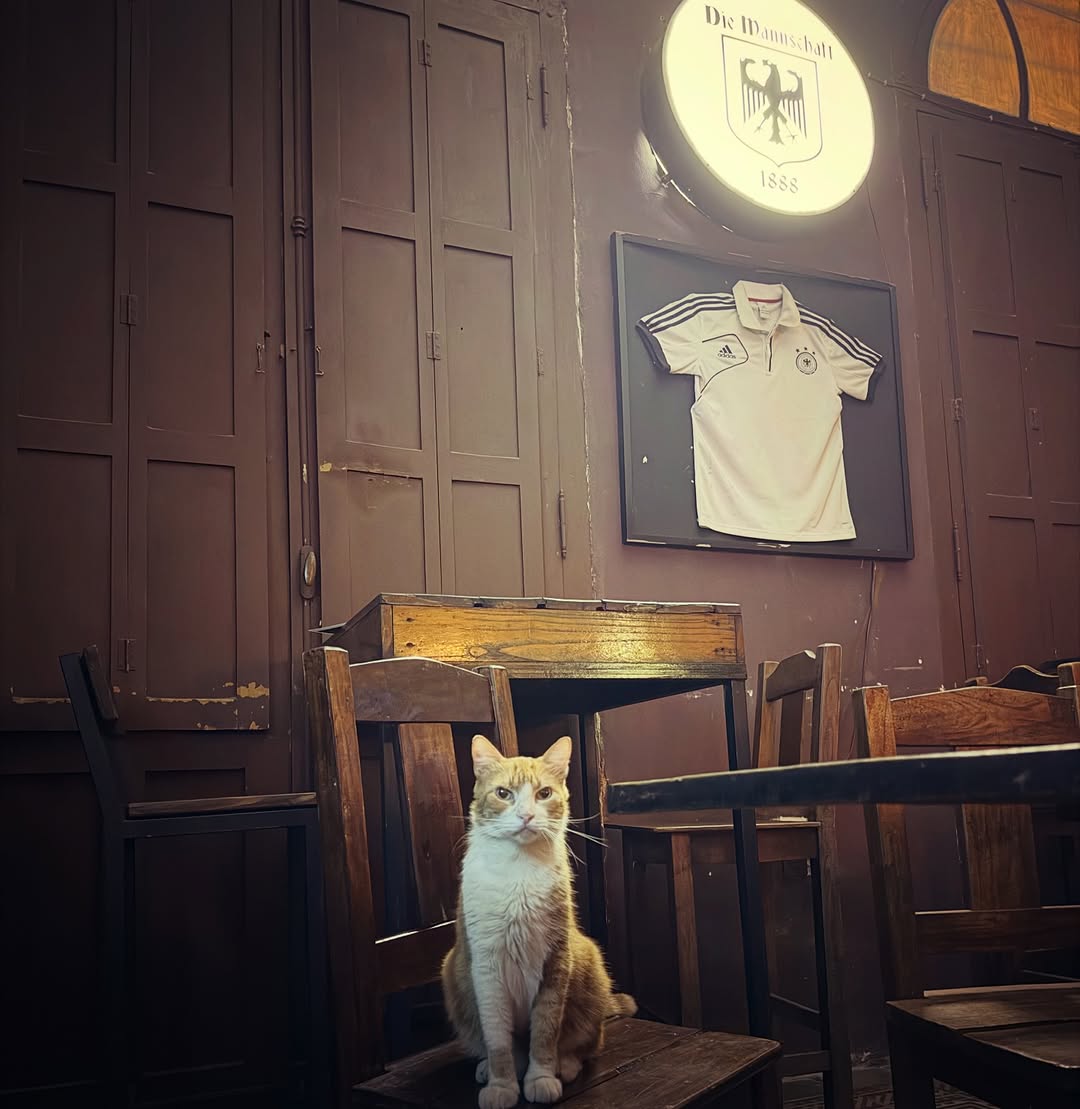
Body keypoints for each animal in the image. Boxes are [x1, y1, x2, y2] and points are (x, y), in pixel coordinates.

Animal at [441, 734, 636, 1108]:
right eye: (504, 793)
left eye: (544, 793)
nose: (526, 815)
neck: (518, 868)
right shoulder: (486, 967)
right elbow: (498, 1040)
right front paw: (502, 1084)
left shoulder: (555, 960)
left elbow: (546, 1032)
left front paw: (542, 1077)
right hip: (453, 970)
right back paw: (489, 1067)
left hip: (588, 958)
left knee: (587, 1042)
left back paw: (566, 1065)